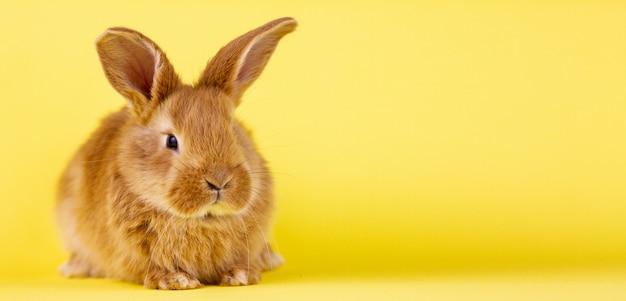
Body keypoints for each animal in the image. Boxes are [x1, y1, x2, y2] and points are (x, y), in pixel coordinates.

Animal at [54, 17, 296, 288]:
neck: (204, 220)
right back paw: (75, 267)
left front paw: (241, 275)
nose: (219, 181)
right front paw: (176, 280)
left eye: (234, 131)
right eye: (172, 141)